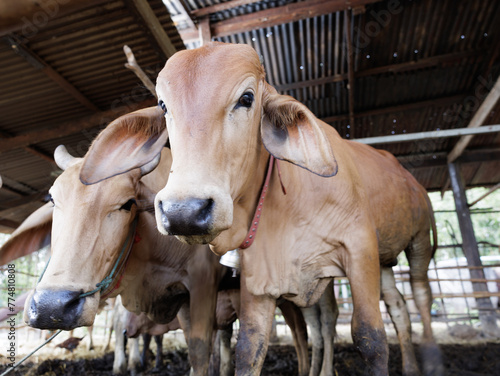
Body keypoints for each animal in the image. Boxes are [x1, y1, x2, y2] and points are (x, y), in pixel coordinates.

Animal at [80, 43, 444, 376]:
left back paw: (431, 359)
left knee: (421, 295)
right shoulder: (259, 279)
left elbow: (370, 339)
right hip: (385, 261)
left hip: (418, 240)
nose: (185, 211)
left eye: (246, 98)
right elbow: (249, 348)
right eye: (163, 104)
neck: (292, 202)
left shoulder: (360, 249)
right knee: (396, 306)